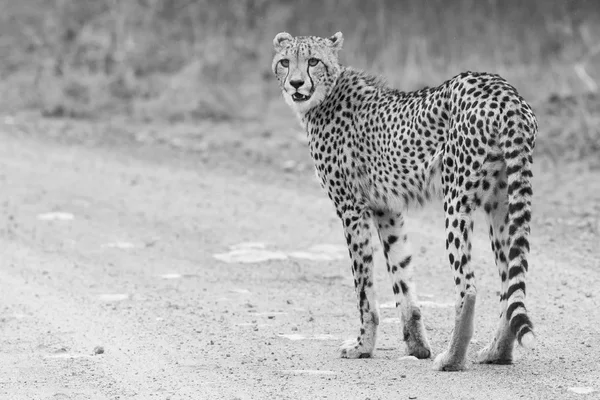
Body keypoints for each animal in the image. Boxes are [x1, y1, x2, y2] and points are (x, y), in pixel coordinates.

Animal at [274, 32, 536, 372]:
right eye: (284, 61)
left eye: (313, 61)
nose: (295, 83)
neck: (325, 95)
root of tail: (501, 88)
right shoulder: (387, 208)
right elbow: (401, 275)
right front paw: (416, 345)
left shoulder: (351, 208)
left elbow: (364, 287)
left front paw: (362, 346)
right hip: (502, 203)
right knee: (511, 282)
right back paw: (497, 352)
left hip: (456, 198)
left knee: (468, 286)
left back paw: (451, 359)